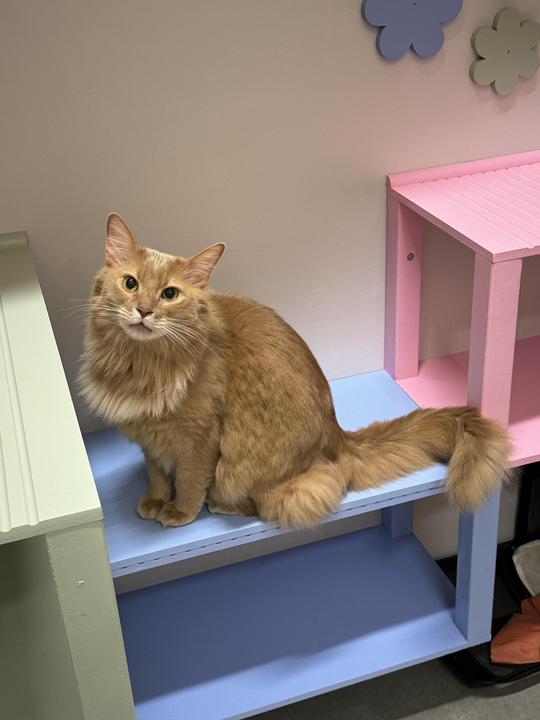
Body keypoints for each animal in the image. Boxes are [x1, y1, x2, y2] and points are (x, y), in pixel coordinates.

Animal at [79, 213, 510, 528]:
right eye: (130, 283)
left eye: (170, 294)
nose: (144, 310)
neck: (140, 365)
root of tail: (338, 437)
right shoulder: (149, 440)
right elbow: (156, 474)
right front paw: (154, 500)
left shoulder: (199, 438)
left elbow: (187, 480)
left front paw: (178, 512)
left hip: (242, 470)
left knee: (260, 504)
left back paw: (219, 506)